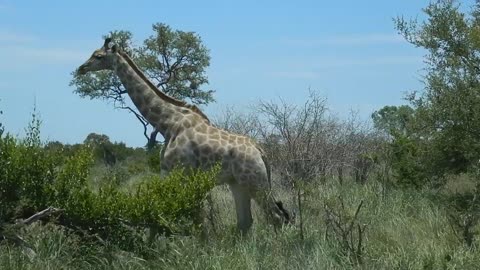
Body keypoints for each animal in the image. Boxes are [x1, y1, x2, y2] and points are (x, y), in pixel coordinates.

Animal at [78, 37, 292, 232]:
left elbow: (197, 223)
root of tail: (261, 151)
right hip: (237, 183)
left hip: (254, 181)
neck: (167, 123)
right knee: (246, 221)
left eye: (98, 56)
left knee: (276, 216)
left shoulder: (183, 174)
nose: (81, 68)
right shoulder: (167, 173)